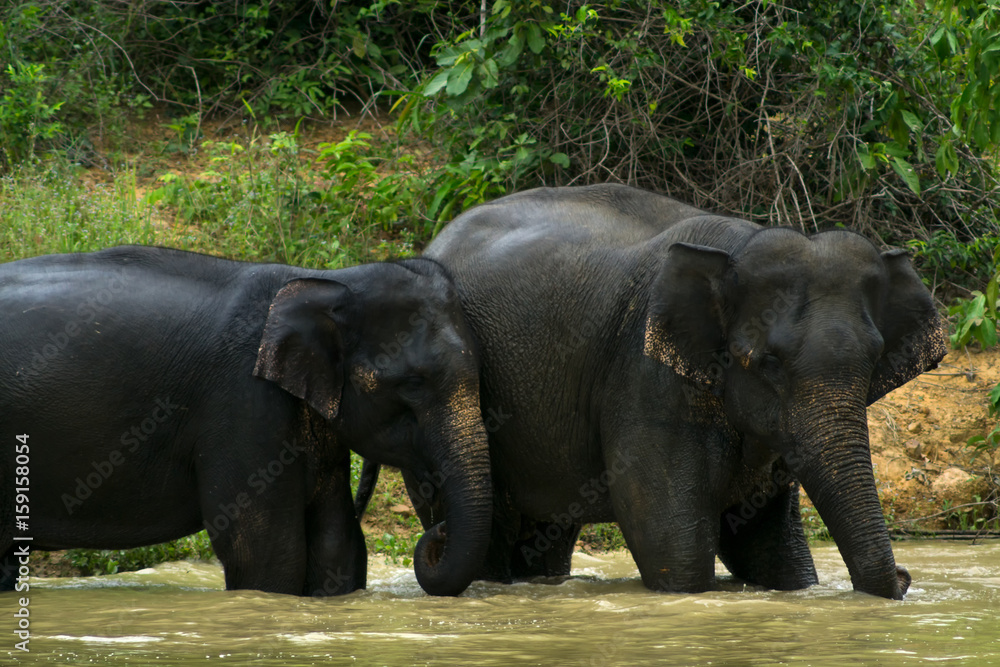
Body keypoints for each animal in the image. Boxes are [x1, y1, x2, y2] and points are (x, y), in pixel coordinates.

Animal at [0, 245, 491, 597]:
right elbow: (264, 550)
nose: (438, 528)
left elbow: (337, 540)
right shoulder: (240, 400)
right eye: (413, 384)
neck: (325, 278)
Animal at [359, 183, 946, 600]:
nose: (905, 575)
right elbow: (672, 545)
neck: (736, 248)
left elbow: (769, 548)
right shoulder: (644, 379)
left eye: (873, 361)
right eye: (768, 363)